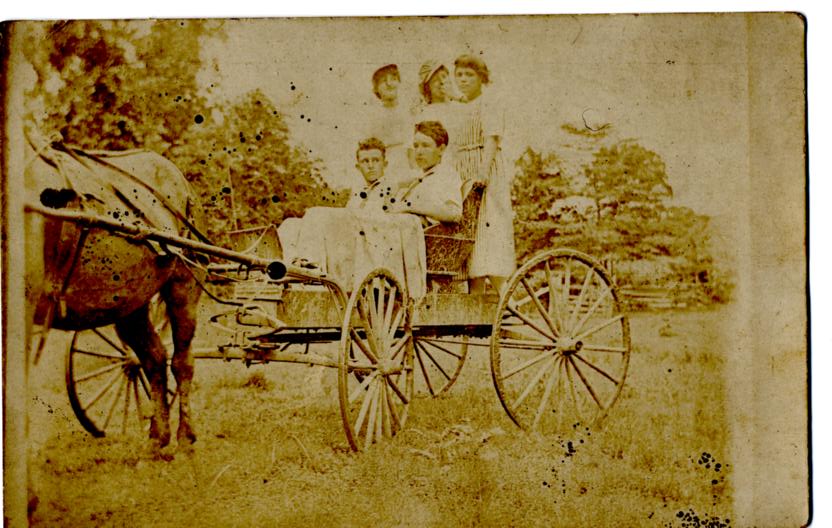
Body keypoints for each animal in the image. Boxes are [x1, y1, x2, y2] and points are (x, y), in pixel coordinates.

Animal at [24, 137, 204, 454]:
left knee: (182, 362)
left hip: (183, 283)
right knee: (153, 358)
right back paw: (157, 438)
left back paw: (185, 437)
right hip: (130, 303)